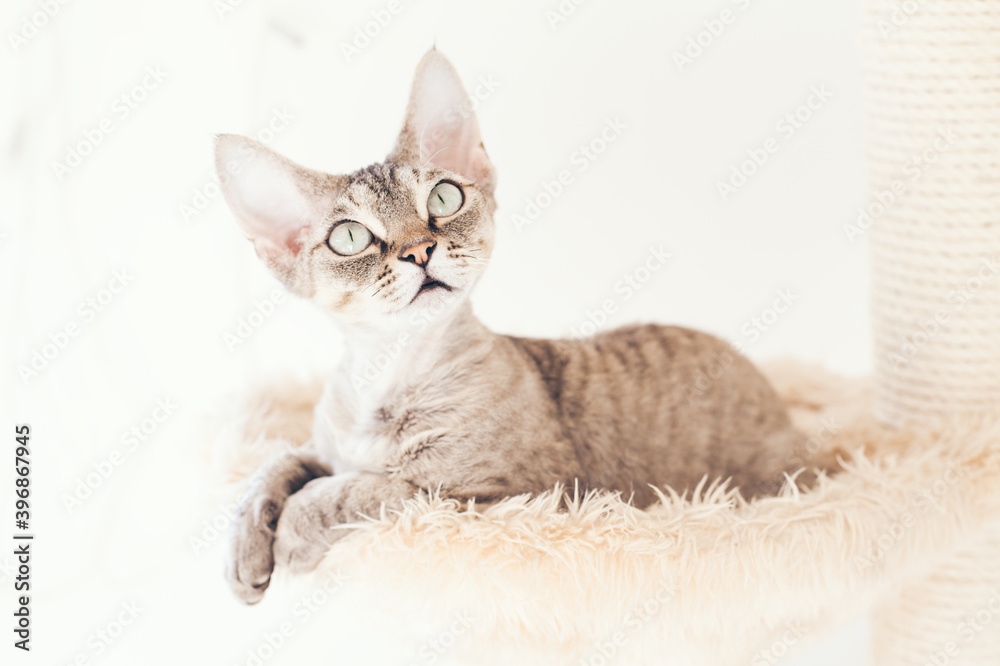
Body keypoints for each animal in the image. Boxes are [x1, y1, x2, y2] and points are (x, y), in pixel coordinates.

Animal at [217, 49, 820, 604]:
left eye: (443, 197)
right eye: (349, 237)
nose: (419, 250)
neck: (384, 377)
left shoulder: (501, 497)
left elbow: (367, 490)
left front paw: (292, 533)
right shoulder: (329, 447)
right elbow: (278, 462)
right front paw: (245, 547)